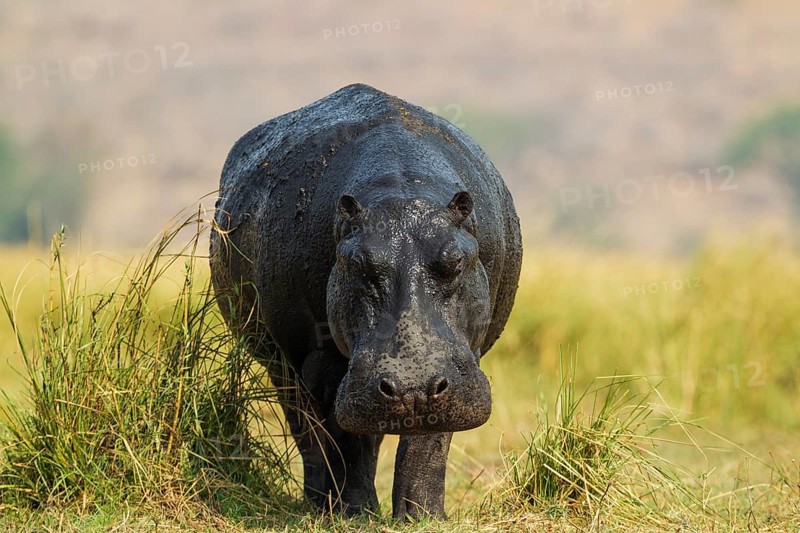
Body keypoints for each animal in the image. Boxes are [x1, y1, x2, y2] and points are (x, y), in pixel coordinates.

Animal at [210, 83, 522, 520]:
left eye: (456, 261)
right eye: (357, 263)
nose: (413, 388)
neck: (401, 184)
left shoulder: (460, 364)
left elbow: (429, 442)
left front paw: (422, 516)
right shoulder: (324, 360)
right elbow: (345, 441)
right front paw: (356, 513)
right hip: (283, 361)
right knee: (306, 427)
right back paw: (320, 503)